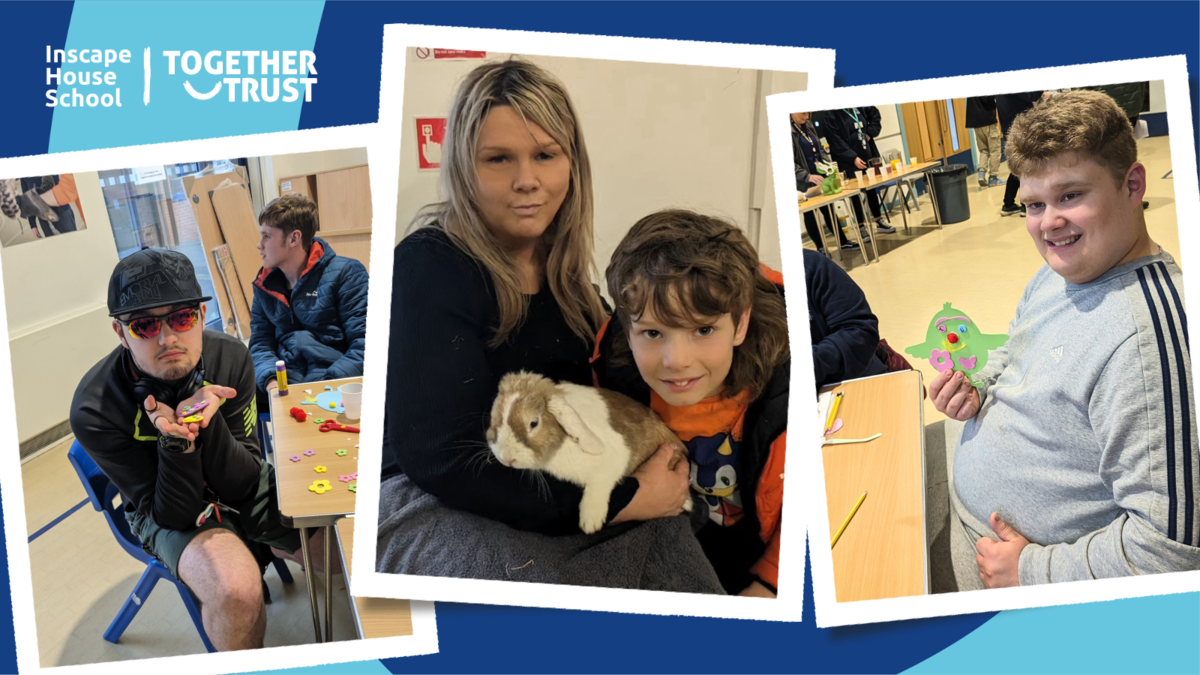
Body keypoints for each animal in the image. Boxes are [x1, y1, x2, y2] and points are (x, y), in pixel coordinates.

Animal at [487, 367, 696, 530]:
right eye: (494, 415)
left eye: (533, 423)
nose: (506, 458)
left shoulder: (616, 460)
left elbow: (598, 484)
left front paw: (591, 521)